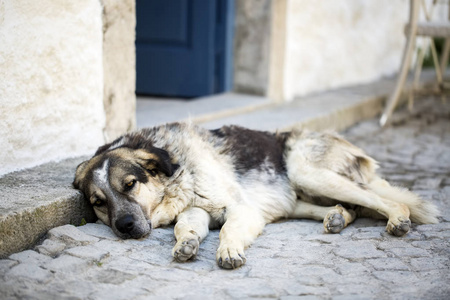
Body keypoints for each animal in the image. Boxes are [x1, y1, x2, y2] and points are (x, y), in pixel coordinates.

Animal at [73, 122, 440, 270]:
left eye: (130, 185)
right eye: (98, 202)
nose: (124, 227)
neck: (177, 169)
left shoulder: (239, 208)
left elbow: (229, 229)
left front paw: (228, 250)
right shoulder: (197, 208)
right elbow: (185, 228)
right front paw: (187, 243)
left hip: (306, 171)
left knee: (383, 200)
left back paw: (397, 218)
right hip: (293, 193)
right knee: (348, 207)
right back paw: (336, 216)